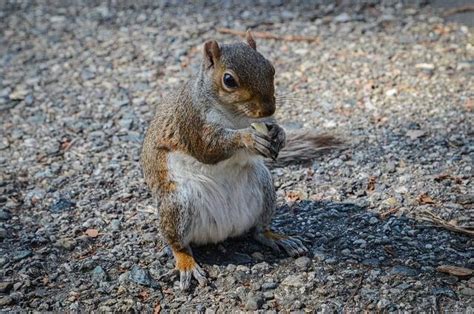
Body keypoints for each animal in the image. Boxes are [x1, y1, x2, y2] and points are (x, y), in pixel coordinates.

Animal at [141, 30, 336, 290]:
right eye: (229, 80)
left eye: (271, 68)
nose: (268, 109)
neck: (236, 116)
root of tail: (224, 231)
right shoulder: (191, 121)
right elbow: (207, 148)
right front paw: (247, 138)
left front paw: (281, 133)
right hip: (176, 202)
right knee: (178, 244)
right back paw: (186, 263)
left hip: (264, 188)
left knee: (259, 231)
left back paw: (277, 237)